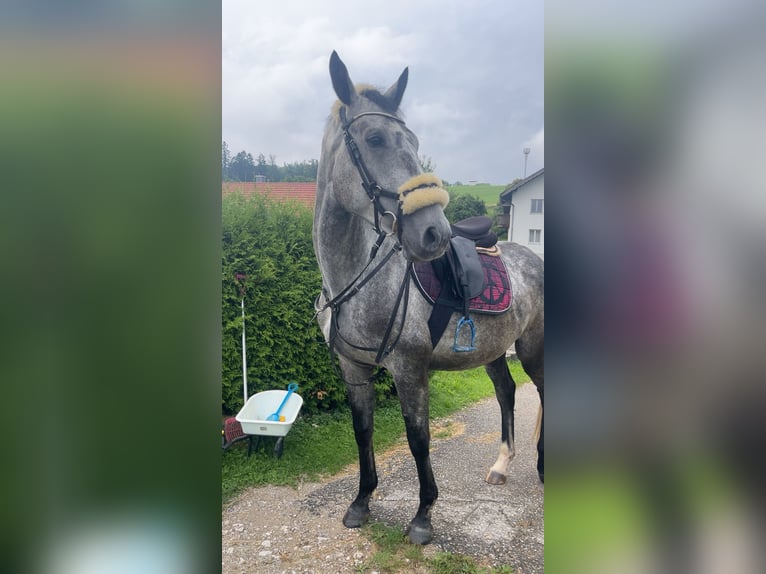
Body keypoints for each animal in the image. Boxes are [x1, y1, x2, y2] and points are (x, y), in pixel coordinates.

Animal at [313, 51, 544, 545]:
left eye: (414, 141)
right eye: (375, 138)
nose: (434, 232)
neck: (356, 278)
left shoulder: (409, 368)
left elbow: (418, 439)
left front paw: (422, 517)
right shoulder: (353, 368)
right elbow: (362, 432)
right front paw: (361, 502)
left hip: (533, 349)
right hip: (494, 351)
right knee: (507, 392)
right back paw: (501, 465)